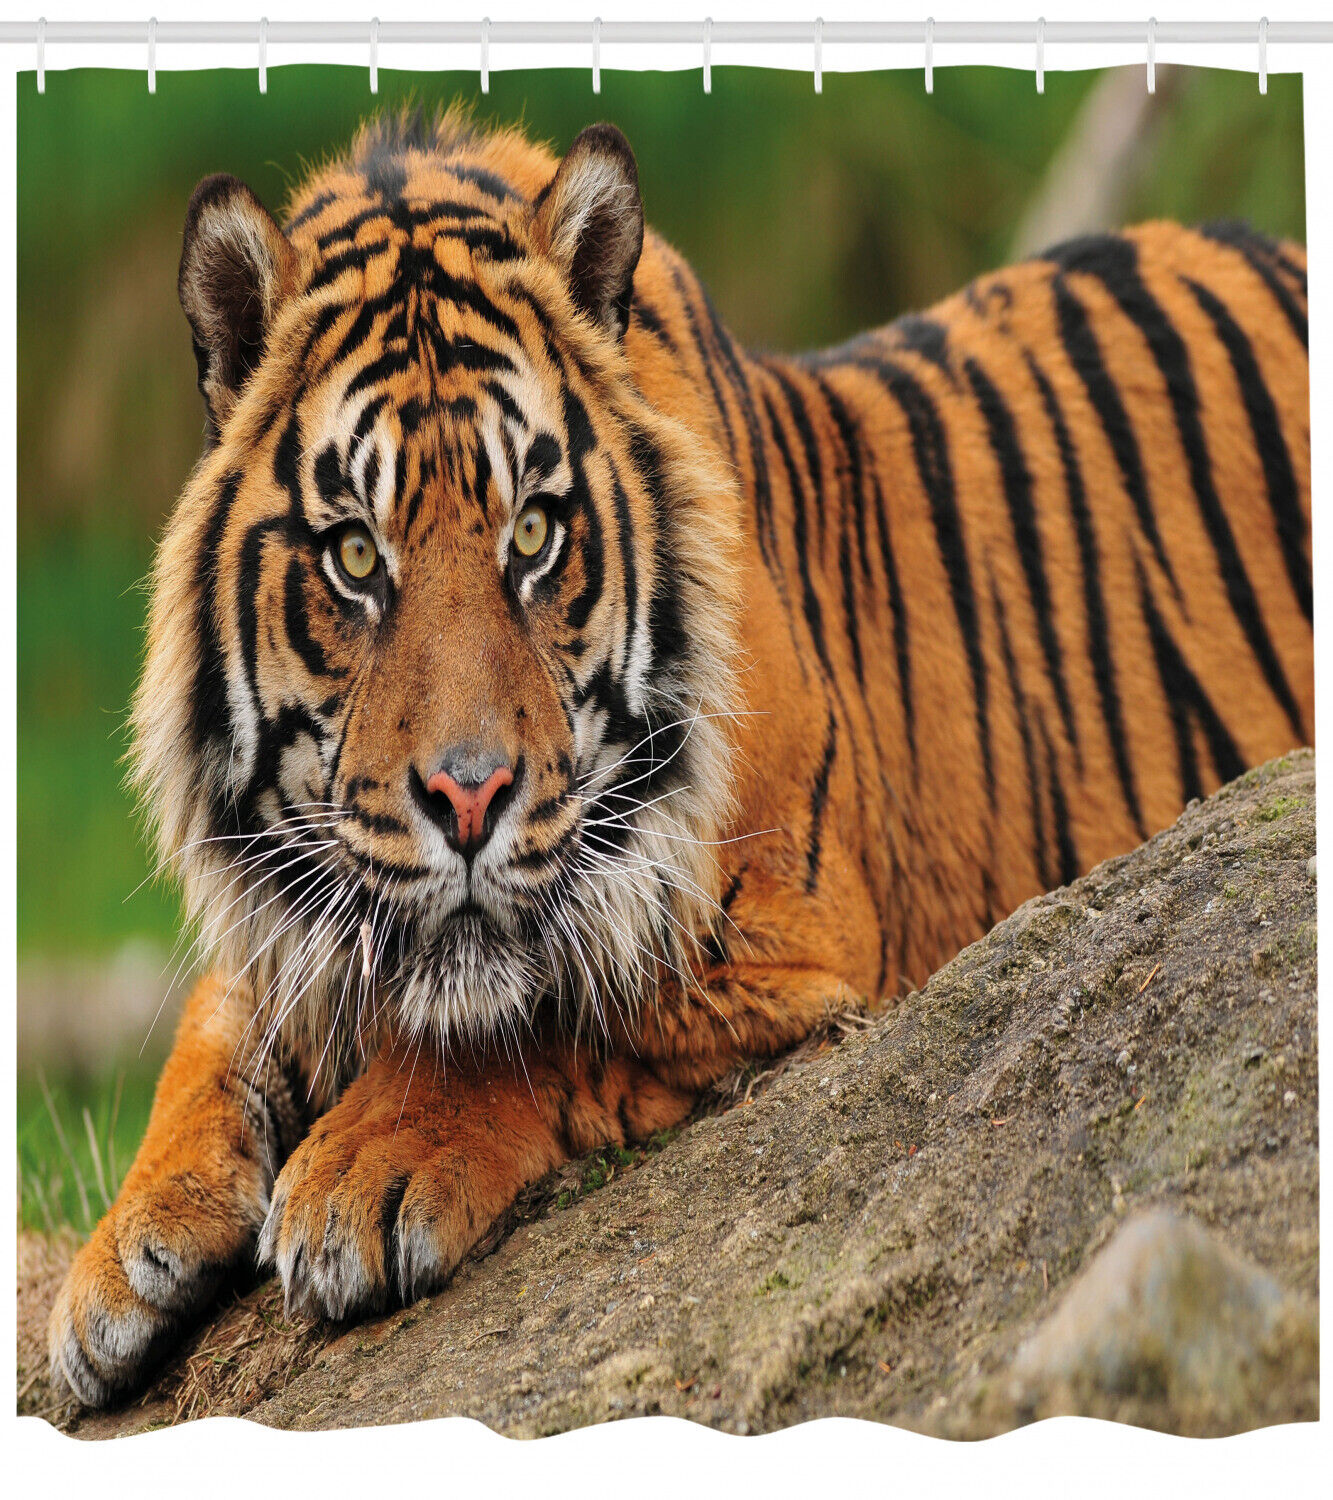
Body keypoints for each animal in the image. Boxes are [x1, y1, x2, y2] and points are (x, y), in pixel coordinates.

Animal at [48, 110, 1312, 1408]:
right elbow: (221, 1019)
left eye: (535, 534)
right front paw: (122, 1256)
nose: (467, 796)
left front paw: (362, 1171)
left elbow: (541, 1015)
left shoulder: (782, 941)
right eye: (355, 554)